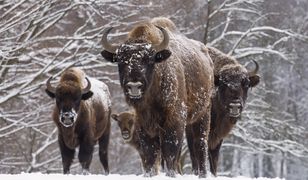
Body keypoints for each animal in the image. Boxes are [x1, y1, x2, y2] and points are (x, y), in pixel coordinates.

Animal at [100, 16, 213, 177]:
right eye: (121, 61)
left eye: (149, 60)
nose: (134, 85)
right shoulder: (144, 125)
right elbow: (150, 155)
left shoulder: (174, 120)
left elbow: (170, 152)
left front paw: (171, 174)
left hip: (203, 114)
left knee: (200, 144)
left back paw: (202, 174)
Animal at [188, 46, 260, 176]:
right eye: (223, 83)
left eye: (246, 84)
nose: (235, 105)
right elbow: (195, 152)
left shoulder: (218, 135)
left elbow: (214, 157)